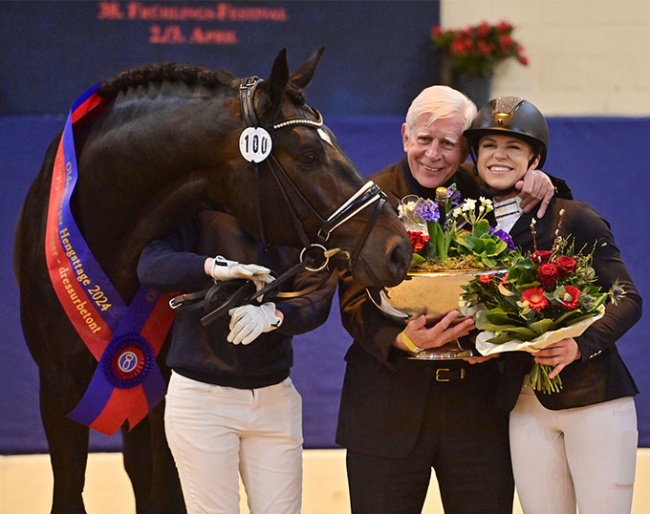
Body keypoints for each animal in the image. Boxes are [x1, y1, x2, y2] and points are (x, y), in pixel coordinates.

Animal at [12, 49, 410, 512]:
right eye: (310, 154)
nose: (399, 249)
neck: (103, 225)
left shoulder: (161, 390)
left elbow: (162, 491)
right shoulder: (57, 388)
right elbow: (69, 488)